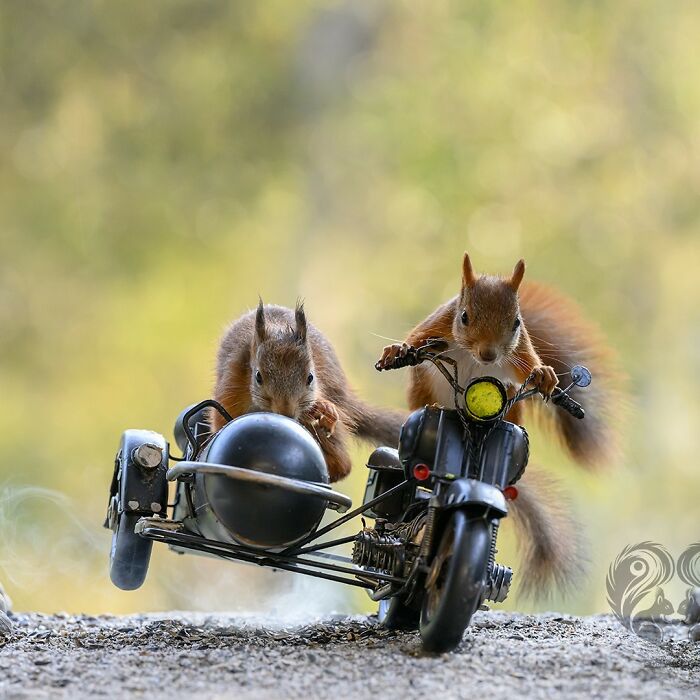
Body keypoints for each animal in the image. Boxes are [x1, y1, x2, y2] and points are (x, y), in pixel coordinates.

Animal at [211, 300, 406, 482]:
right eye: (258, 377)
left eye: (311, 377)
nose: (286, 413)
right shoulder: (231, 384)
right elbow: (221, 424)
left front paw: (326, 409)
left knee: (343, 464)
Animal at [377, 252, 623, 596]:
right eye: (464, 317)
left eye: (517, 323)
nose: (489, 353)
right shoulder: (439, 324)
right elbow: (416, 338)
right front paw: (397, 350)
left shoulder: (520, 352)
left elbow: (531, 365)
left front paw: (545, 376)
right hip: (422, 390)